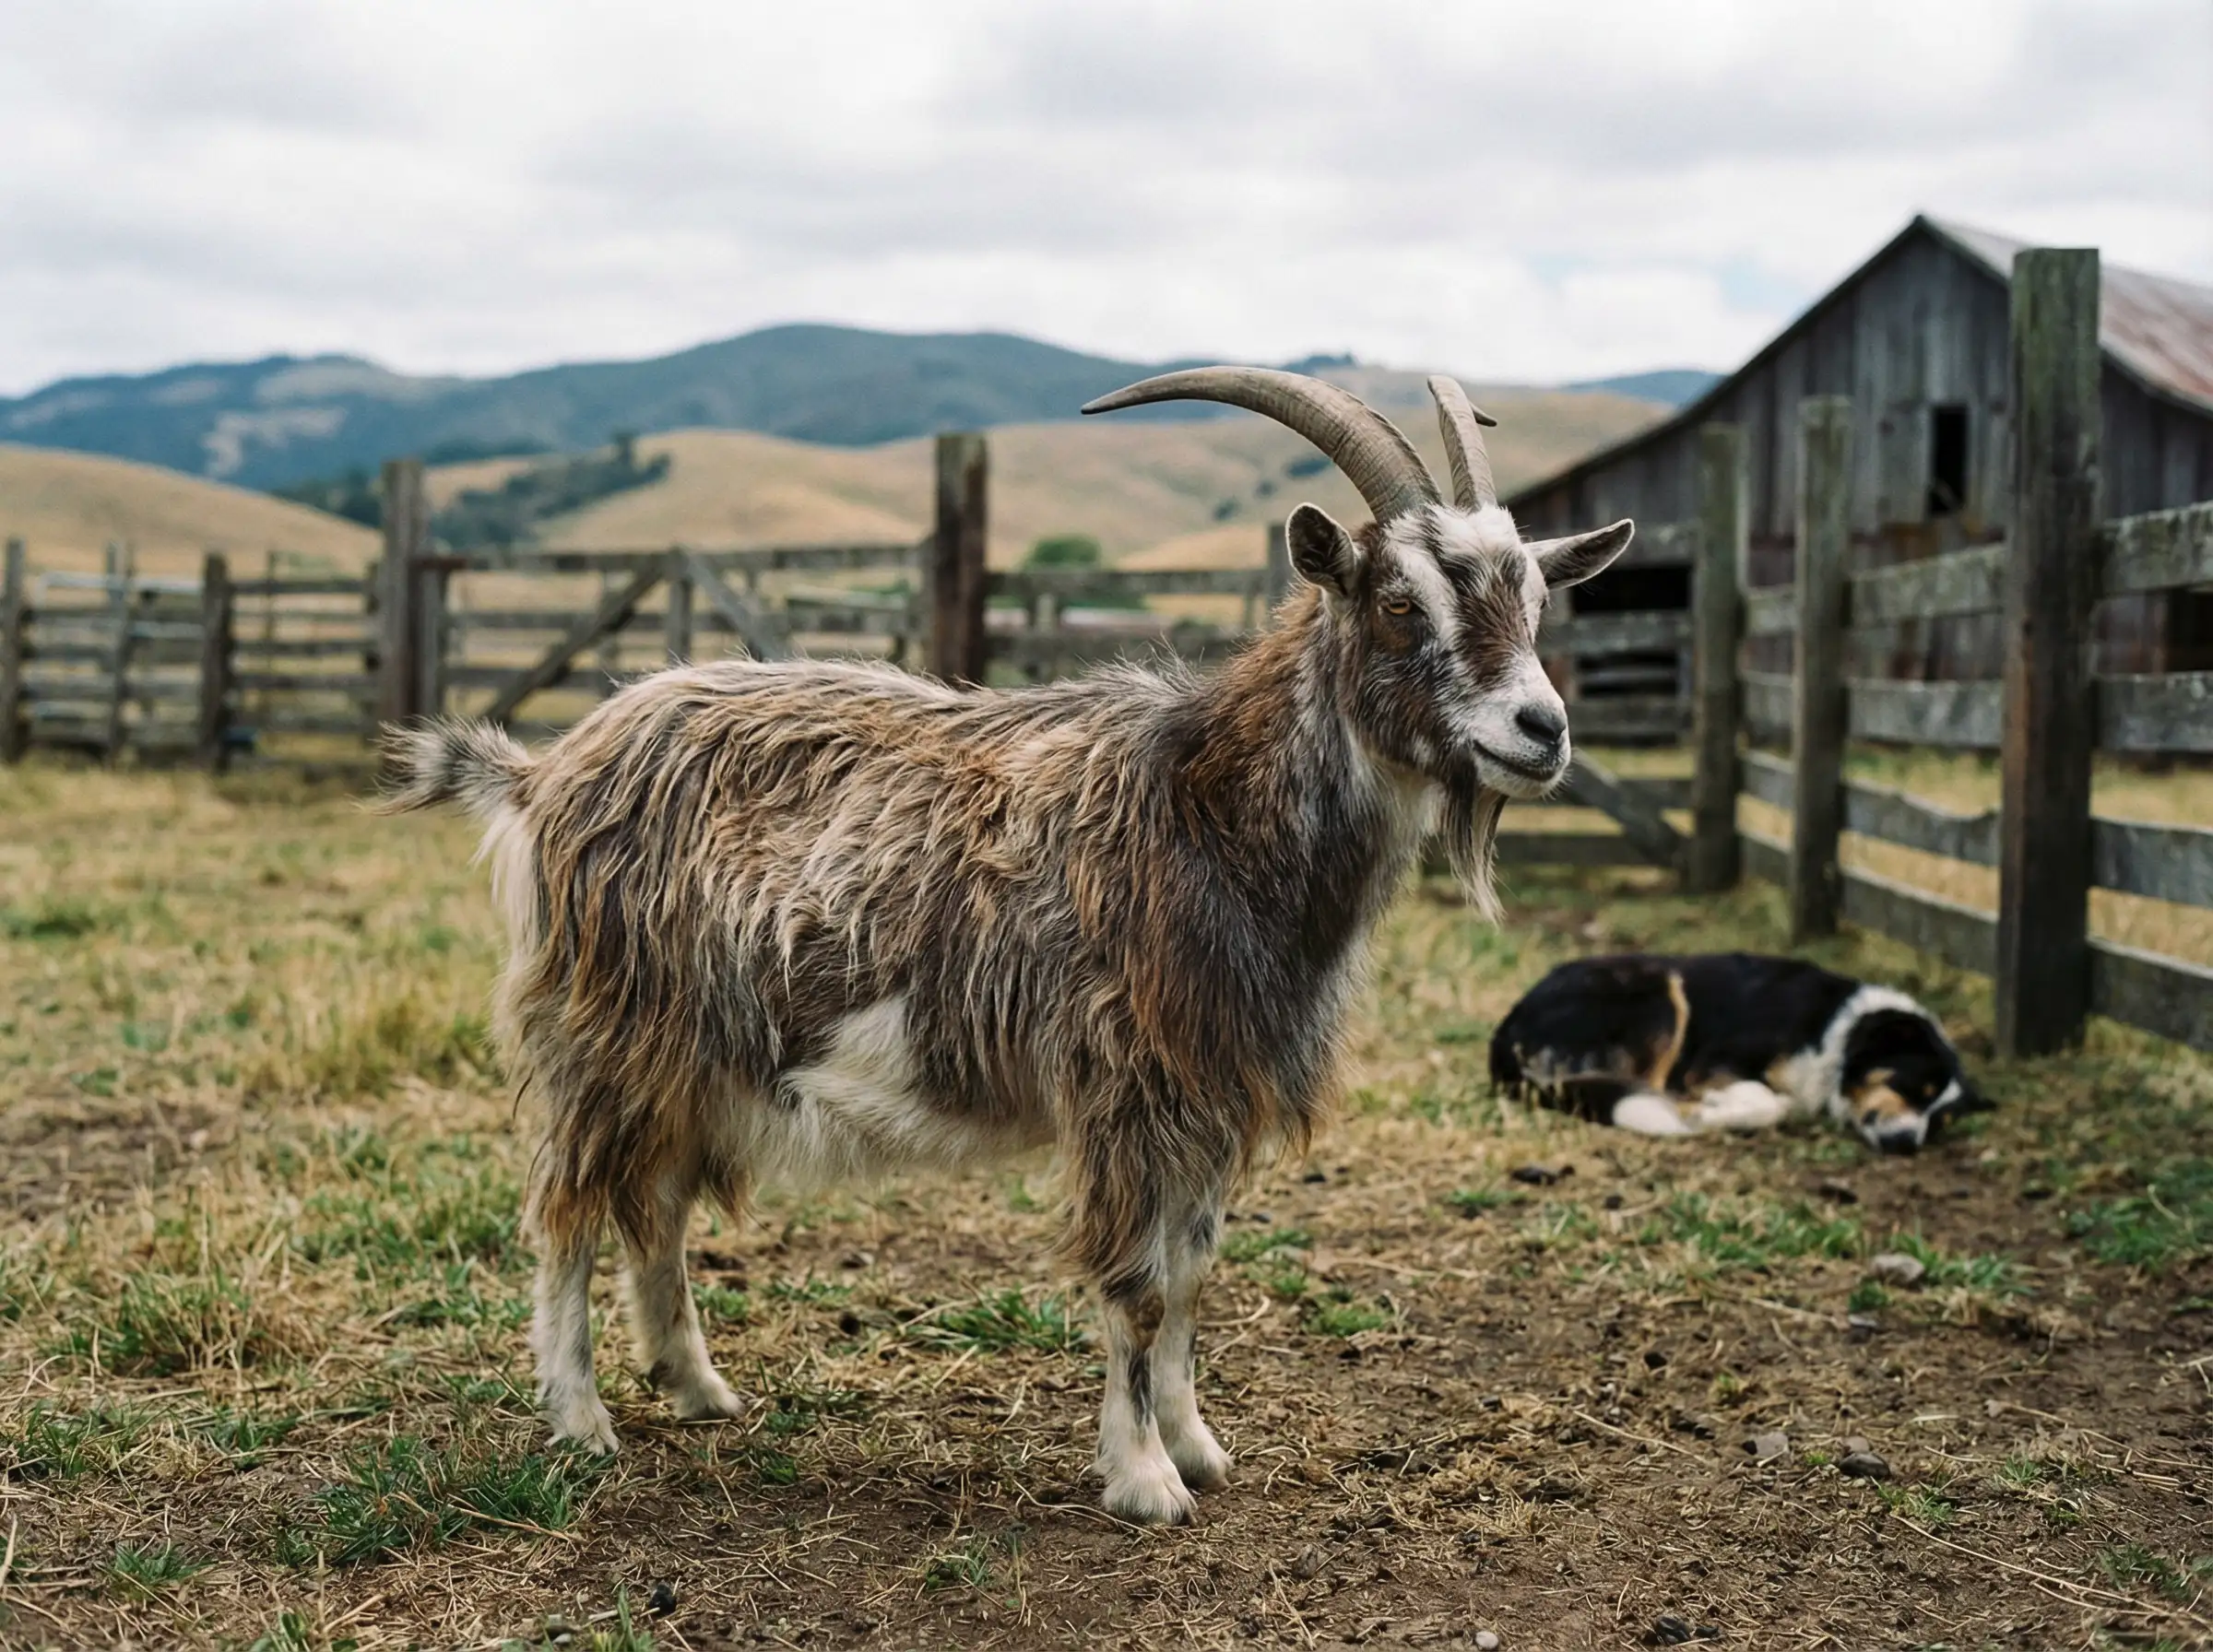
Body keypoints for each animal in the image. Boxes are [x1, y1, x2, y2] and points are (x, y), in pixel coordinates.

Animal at [381, 368, 1633, 1524]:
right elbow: (1137, 1287)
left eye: (1534, 597)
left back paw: (697, 1386)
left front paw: (1198, 1446)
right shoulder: (1127, 1086)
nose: (1543, 729)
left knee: (656, 1206)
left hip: (695, 1053)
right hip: (602, 1032)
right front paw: (1143, 1481)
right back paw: (580, 1418)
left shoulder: (1211, 1089)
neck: (1207, 809)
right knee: (566, 1212)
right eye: (1397, 601)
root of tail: (545, 770)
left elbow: (1193, 1277)